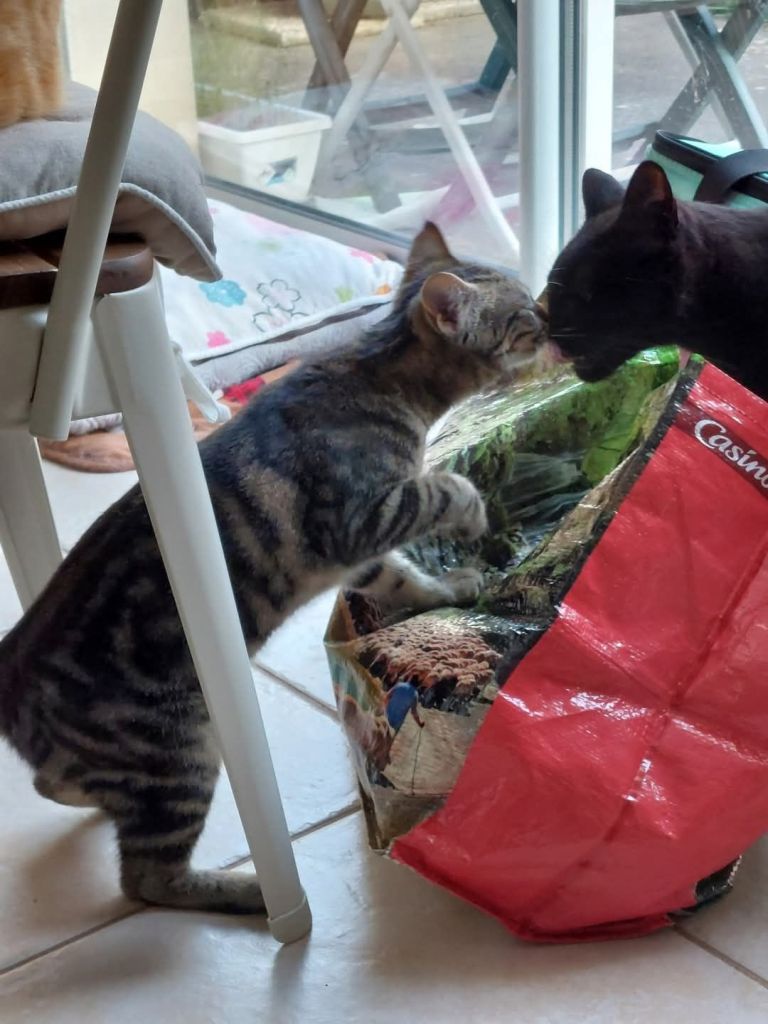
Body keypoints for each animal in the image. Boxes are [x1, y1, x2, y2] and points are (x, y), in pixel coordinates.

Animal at [0, 223, 547, 915]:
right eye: (523, 313)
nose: (550, 314)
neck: (377, 372)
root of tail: (9, 675)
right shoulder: (362, 515)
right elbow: (443, 488)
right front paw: (473, 517)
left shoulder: (359, 554)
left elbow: (399, 578)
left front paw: (444, 587)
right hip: (178, 752)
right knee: (147, 879)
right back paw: (249, 893)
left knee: (55, 785)